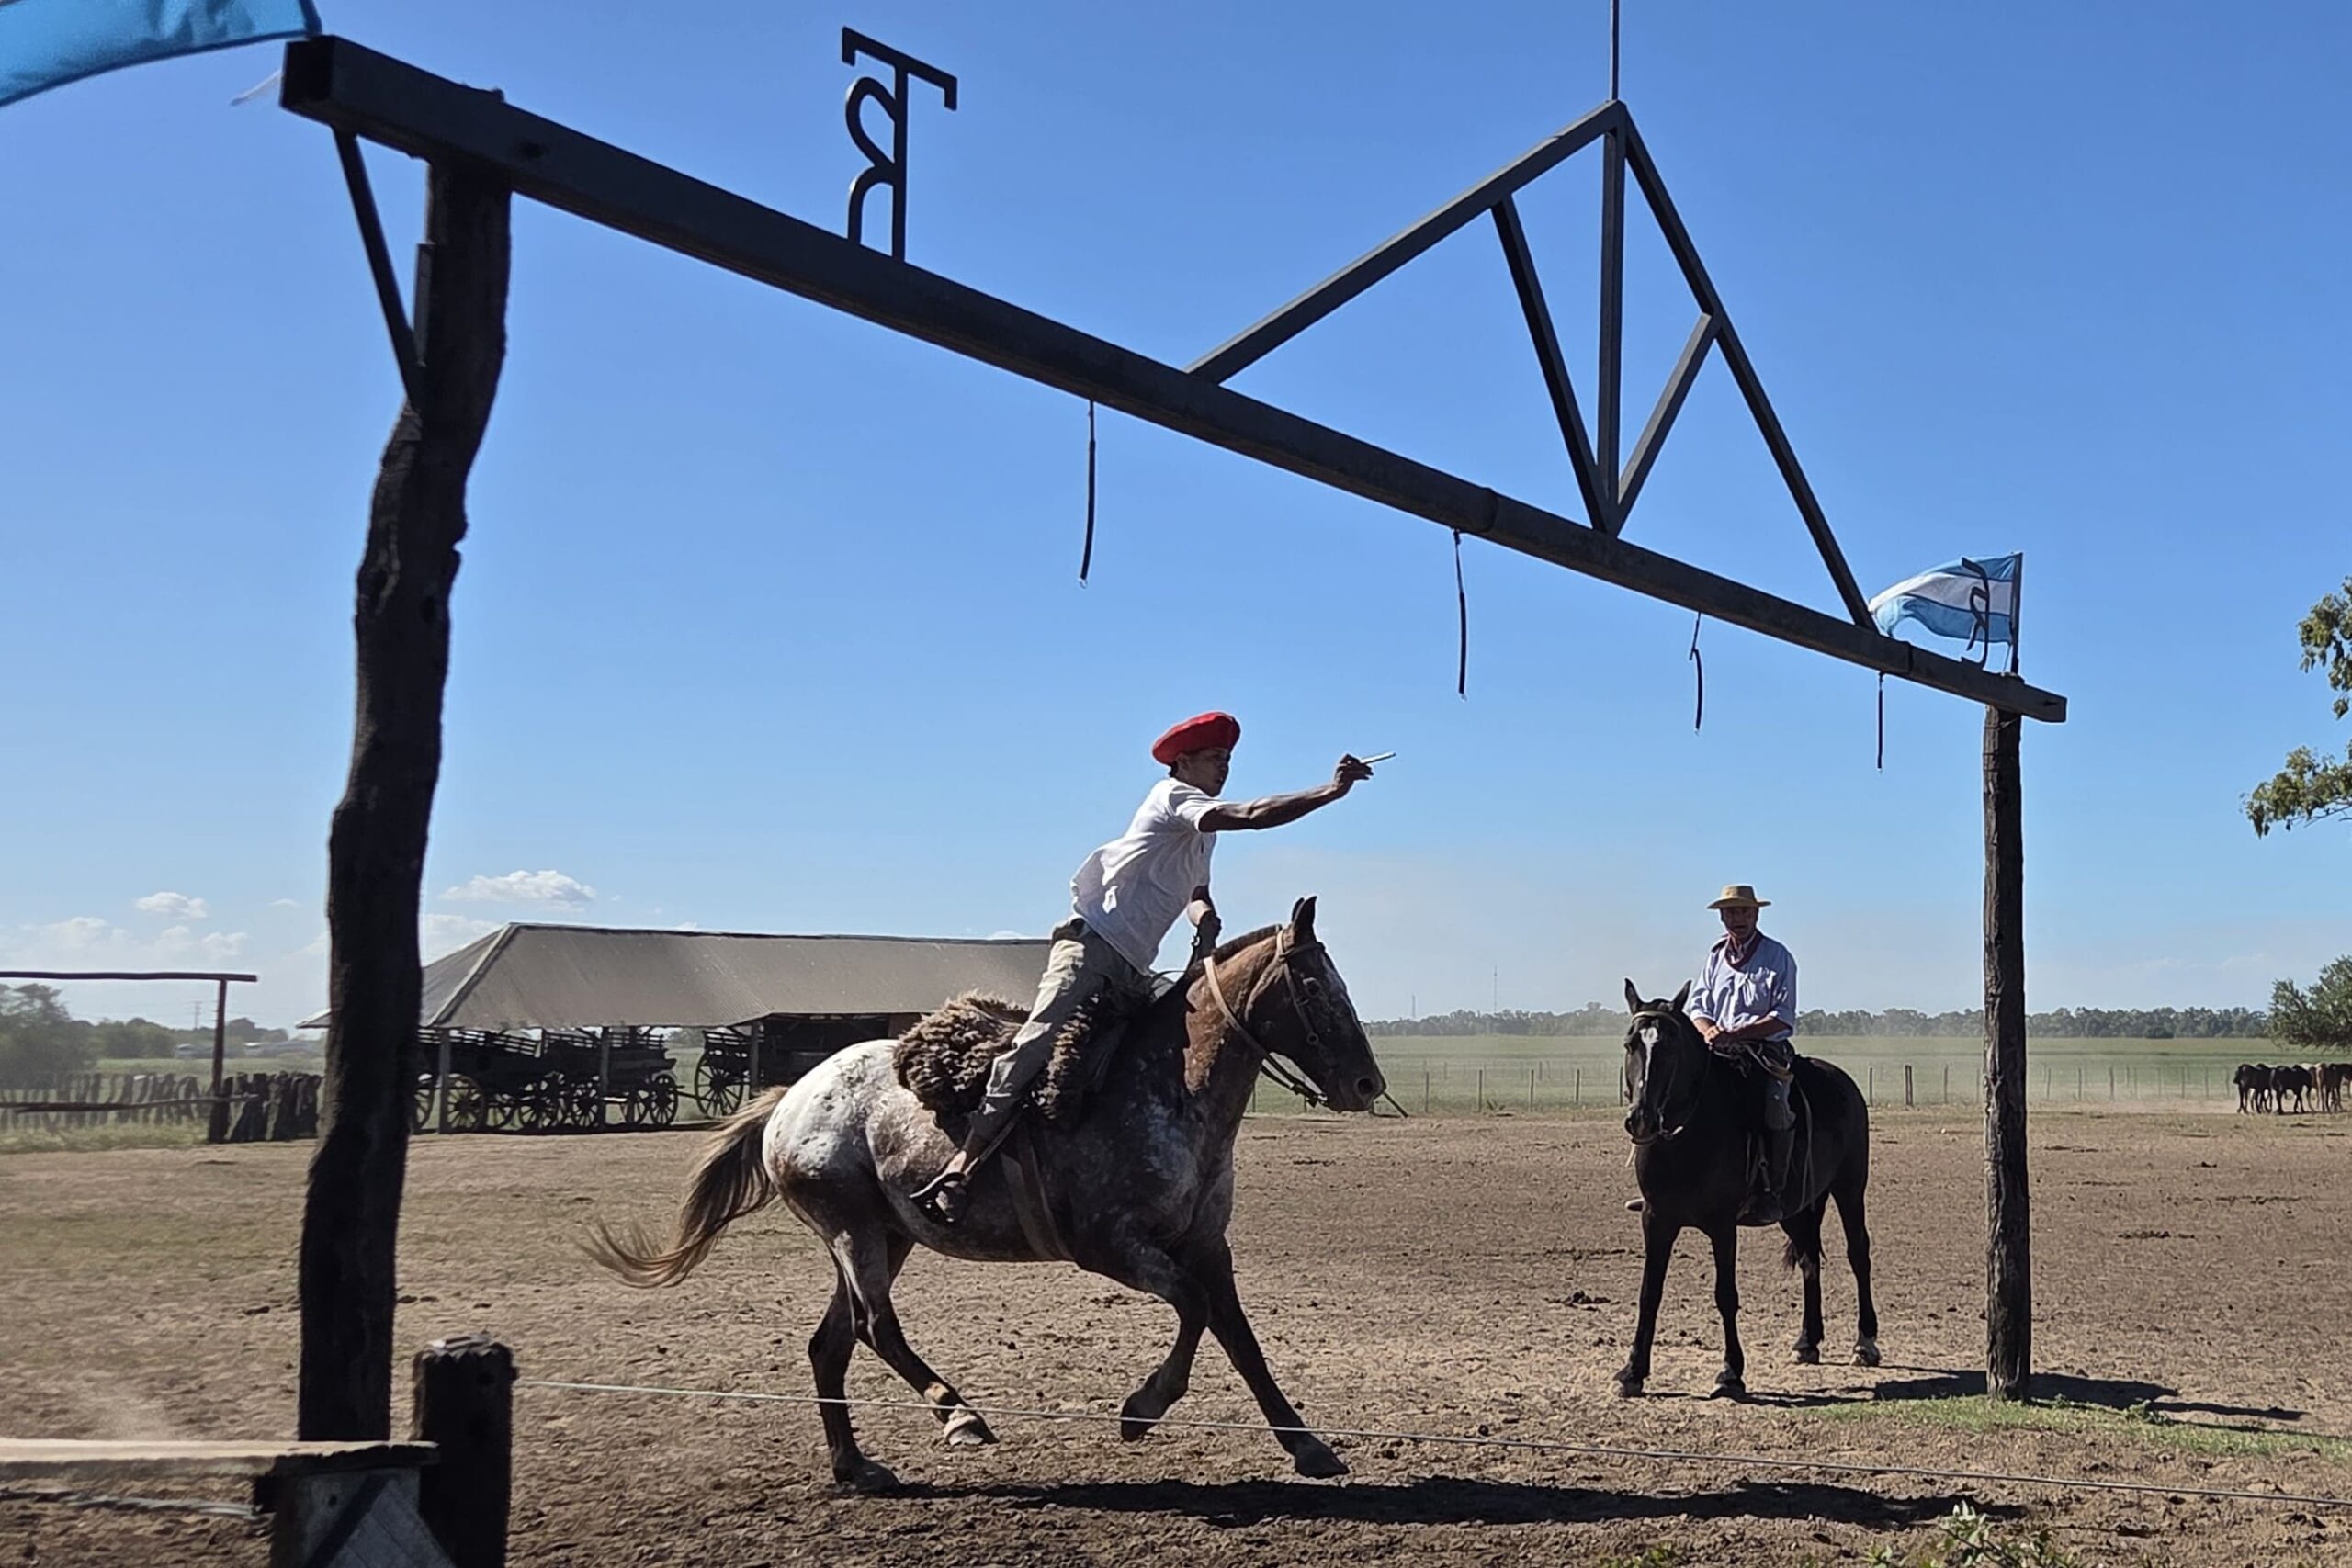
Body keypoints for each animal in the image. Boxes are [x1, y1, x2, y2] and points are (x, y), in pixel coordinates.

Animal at [589, 898, 1386, 1489]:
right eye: (1314, 986)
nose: (1367, 1082)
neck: (1168, 1085)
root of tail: (791, 1096)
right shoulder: (1113, 1245)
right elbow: (1194, 1312)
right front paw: (1142, 1408)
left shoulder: (1205, 1243)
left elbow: (1238, 1337)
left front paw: (1307, 1445)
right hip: (850, 1227)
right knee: (877, 1328)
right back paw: (959, 1414)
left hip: (884, 1234)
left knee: (830, 1342)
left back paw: (855, 1466)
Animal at [1614, 980, 1879, 1399]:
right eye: (1631, 1044)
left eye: (1670, 1047)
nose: (1640, 1119)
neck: (1688, 1135)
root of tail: (1844, 1083)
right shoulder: (1657, 1220)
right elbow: (1649, 1294)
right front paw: (1633, 1371)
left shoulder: (1722, 1224)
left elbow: (1726, 1295)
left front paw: (1730, 1372)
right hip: (1796, 1208)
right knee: (1809, 1258)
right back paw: (1807, 1341)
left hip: (1850, 1188)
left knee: (1859, 1255)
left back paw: (1865, 1343)